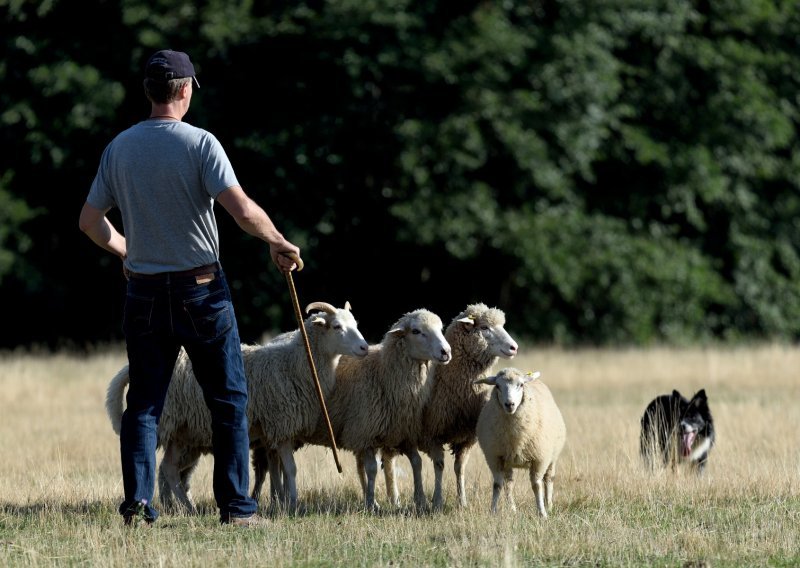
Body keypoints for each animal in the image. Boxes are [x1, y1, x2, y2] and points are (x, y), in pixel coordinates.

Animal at [104, 302, 368, 516]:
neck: (296, 364)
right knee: (163, 467)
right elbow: (291, 470)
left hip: (184, 432)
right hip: (172, 422)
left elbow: (279, 471)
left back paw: (185, 508)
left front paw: (283, 503)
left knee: (169, 468)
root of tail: (131, 370)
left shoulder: (276, 432)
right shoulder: (281, 425)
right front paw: (293, 505)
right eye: (336, 326)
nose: (365, 348)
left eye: (355, 323)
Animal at [298, 308, 450, 512]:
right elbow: (372, 469)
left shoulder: (404, 432)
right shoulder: (365, 434)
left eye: (440, 329)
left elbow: (417, 463)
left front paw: (420, 499)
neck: (383, 373)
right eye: (416, 331)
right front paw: (371, 502)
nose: (446, 352)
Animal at [416, 304, 520, 512]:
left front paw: (462, 501)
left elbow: (460, 468)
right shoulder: (433, 434)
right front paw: (437, 501)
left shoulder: (467, 438)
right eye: (484, 327)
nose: (514, 347)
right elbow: (439, 466)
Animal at [478, 366, 564, 516]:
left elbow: (536, 485)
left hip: (552, 457)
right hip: (507, 461)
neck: (515, 437)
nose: (509, 404)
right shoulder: (494, 457)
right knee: (509, 484)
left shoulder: (540, 458)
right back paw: (512, 508)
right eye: (498, 386)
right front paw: (493, 511)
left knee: (548, 479)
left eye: (521, 385)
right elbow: (497, 485)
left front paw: (542, 513)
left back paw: (549, 505)